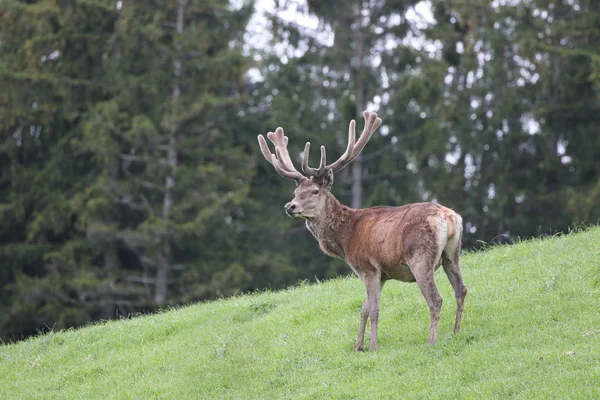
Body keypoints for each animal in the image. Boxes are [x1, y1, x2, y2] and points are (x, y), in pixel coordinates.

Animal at [255, 109, 466, 350]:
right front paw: (358, 346)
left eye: (315, 191)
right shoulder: (381, 274)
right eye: (296, 191)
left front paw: (372, 347)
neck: (345, 240)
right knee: (461, 289)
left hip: (420, 256)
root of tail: (450, 218)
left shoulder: (368, 268)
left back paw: (431, 341)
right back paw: (455, 333)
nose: (289, 206)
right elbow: (364, 309)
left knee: (435, 298)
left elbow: (373, 309)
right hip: (452, 254)